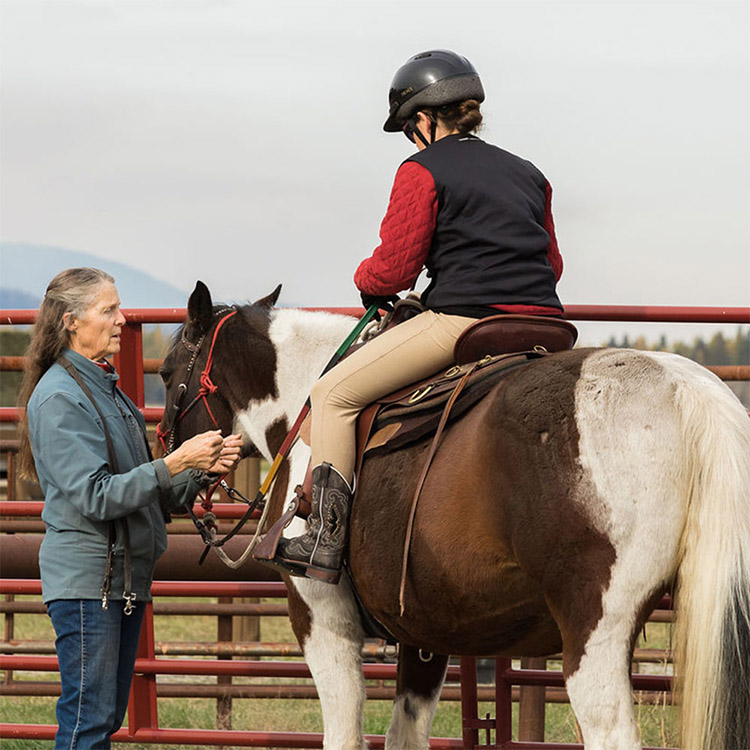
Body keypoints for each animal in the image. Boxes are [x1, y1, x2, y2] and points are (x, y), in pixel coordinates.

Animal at [159, 282, 750, 750]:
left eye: (164, 373)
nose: (170, 454)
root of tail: (685, 389)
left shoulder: (321, 615)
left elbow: (345, 733)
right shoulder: (423, 630)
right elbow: (405, 732)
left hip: (594, 630)